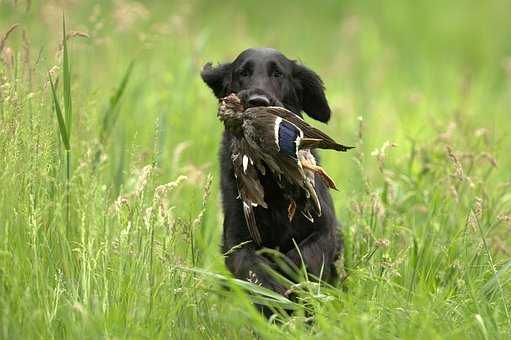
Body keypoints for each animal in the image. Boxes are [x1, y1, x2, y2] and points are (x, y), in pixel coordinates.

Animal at [202, 48, 342, 298]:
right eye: (243, 73)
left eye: (278, 74)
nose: (258, 101)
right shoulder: (236, 239)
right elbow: (252, 267)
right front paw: (272, 289)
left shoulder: (325, 229)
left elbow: (302, 258)